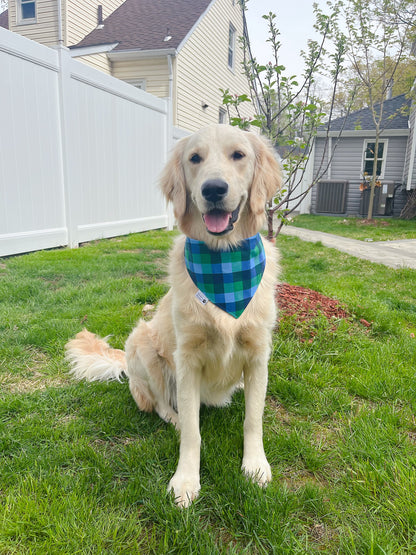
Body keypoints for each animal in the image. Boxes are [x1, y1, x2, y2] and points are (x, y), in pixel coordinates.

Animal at [66, 124, 282, 506]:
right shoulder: (188, 359)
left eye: (238, 155)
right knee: (160, 406)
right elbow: (193, 434)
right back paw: (176, 418)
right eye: (195, 158)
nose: (213, 189)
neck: (224, 263)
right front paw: (185, 480)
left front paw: (255, 465)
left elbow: (253, 419)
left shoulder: (258, 355)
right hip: (144, 347)